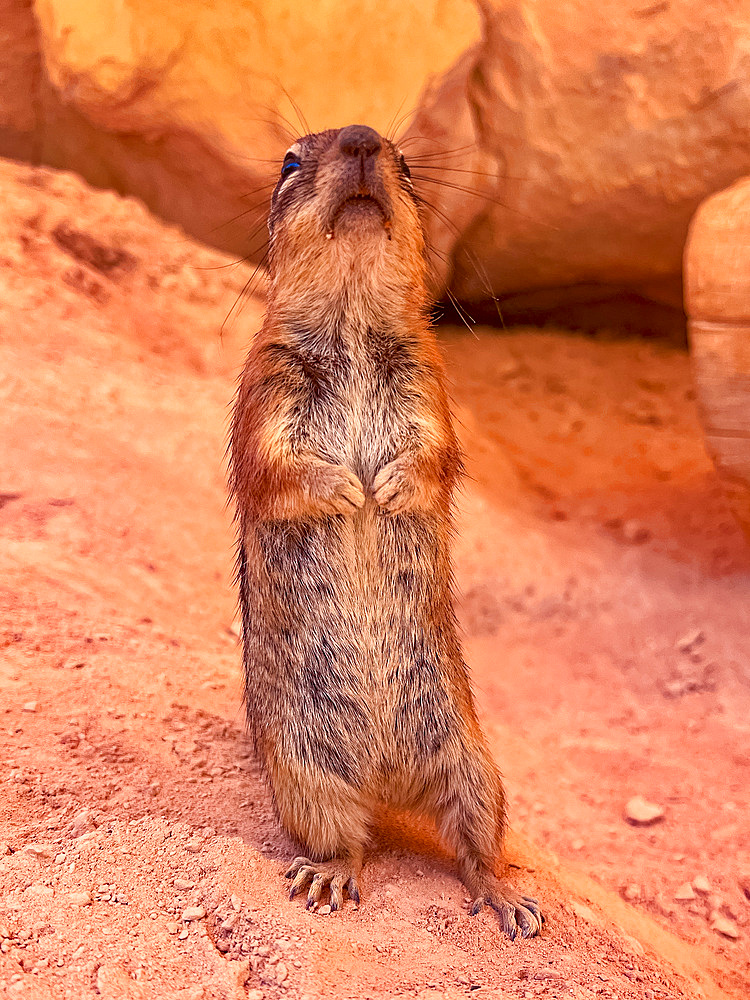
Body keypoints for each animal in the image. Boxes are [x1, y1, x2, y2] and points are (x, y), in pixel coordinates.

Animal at [232, 123, 544, 936]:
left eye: (403, 162)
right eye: (289, 161)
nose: (363, 138)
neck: (349, 318)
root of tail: (386, 783)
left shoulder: (428, 380)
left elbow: (435, 453)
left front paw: (389, 487)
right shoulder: (263, 385)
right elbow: (274, 464)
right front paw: (348, 490)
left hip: (476, 768)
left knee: (476, 852)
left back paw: (511, 903)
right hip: (306, 776)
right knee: (350, 845)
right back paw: (327, 878)